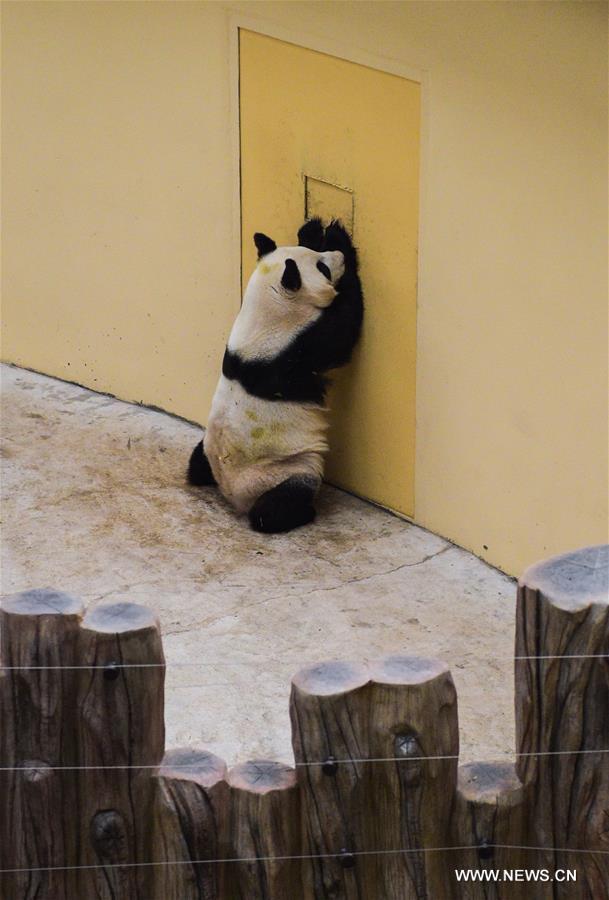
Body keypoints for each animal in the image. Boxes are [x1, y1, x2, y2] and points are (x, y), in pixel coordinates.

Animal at [188, 218, 364, 532]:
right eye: (323, 268)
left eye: (318, 256)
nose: (338, 257)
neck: (267, 311)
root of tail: (233, 496)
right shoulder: (295, 349)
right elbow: (343, 329)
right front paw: (339, 237)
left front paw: (312, 227)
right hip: (290, 470)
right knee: (273, 509)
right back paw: (300, 513)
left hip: (208, 448)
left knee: (195, 465)